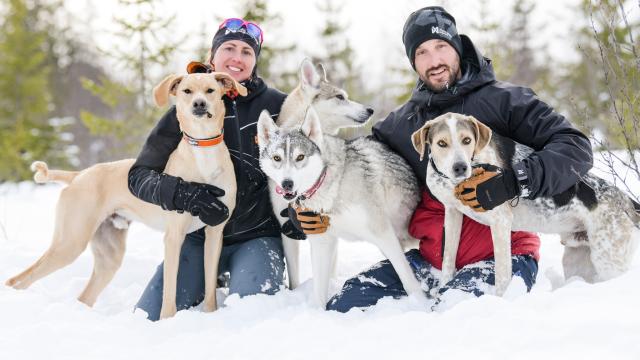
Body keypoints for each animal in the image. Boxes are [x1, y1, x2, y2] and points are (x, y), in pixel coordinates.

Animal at [5, 71, 245, 320]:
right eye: (187, 91)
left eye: (210, 90)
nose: (199, 104)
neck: (204, 151)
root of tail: (79, 175)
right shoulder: (173, 236)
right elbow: (169, 293)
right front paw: (168, 321)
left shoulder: (214, 233)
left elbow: (209, 291)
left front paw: (210, 315)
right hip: (70, 241)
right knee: (20, 279)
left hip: (108, 256)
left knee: (84, 296)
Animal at [255, 107, 424, 306]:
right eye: (276, 158)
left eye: (300, 157)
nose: (287, 184)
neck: (331, 186)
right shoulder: (322, 243)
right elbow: (319, 294)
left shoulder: (384, 235)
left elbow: (408, 281)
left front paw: (421, 304)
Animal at [412, 112, 636, 296]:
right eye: (442, 143)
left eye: (467, 140)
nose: (460, 167)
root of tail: (626, 201)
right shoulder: (452, 214)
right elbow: (448, 260)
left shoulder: (500, 222)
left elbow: (502, 275)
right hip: (577, 260)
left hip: (608, 260)